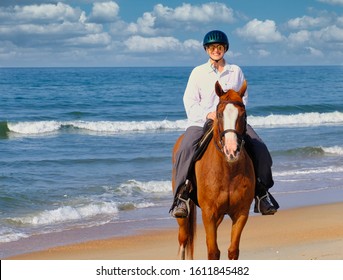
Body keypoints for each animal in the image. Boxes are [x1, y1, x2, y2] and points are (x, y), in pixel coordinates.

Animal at [172, 80, 255, 260]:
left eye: (243, 115)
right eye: (219, 114)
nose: (231, 151)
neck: (228, 171)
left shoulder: (241, 213)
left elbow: (233, 251)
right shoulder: (209, 213)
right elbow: (213, 252)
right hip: (184, 215)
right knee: (183, 240)